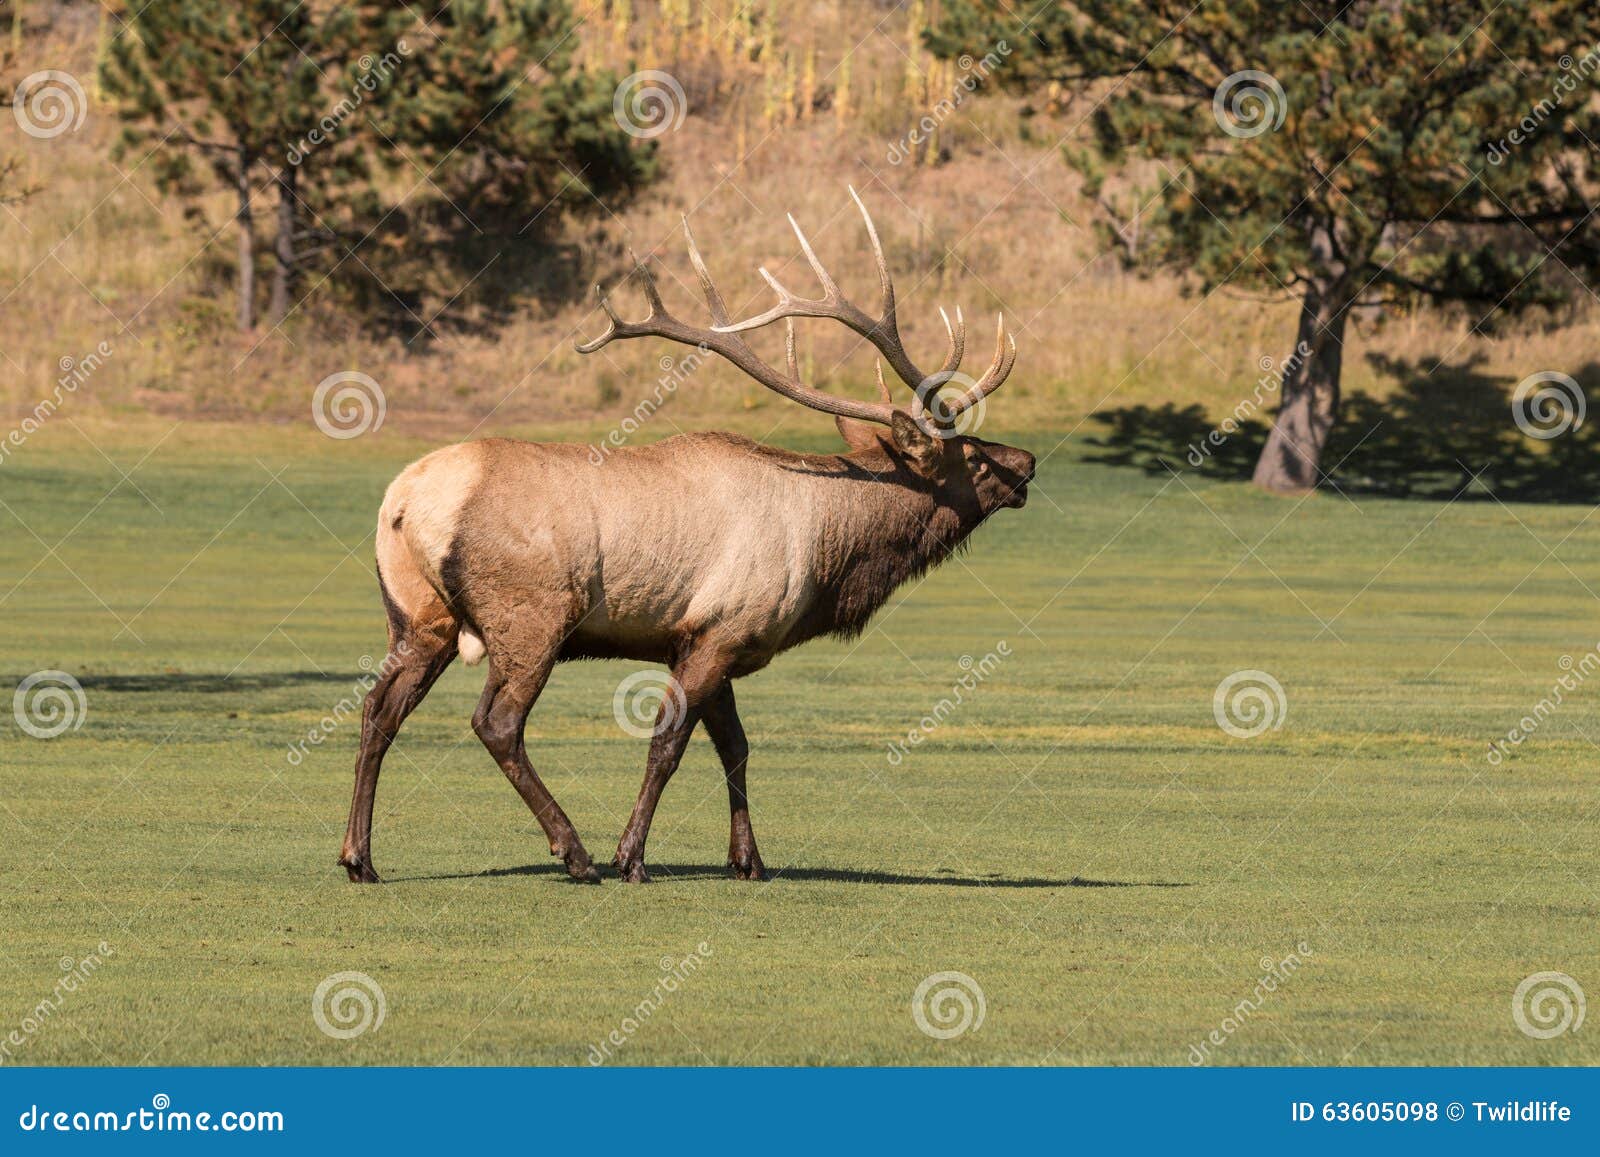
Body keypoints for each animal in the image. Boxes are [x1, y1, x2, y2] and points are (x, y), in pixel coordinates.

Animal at [338, 189, 1035, 885]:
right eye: (974, 458)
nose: (1027, 462)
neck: (830, 551)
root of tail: (402, 503)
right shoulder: (721, 629)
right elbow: (667, 746)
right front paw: (632, 857)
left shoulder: (707, 637)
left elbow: (736, 746)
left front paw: (748, 860)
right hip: (529, 617)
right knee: (496, 723)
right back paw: (575, 853)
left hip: (418, 616)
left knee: (378, 710)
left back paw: (359, 858)